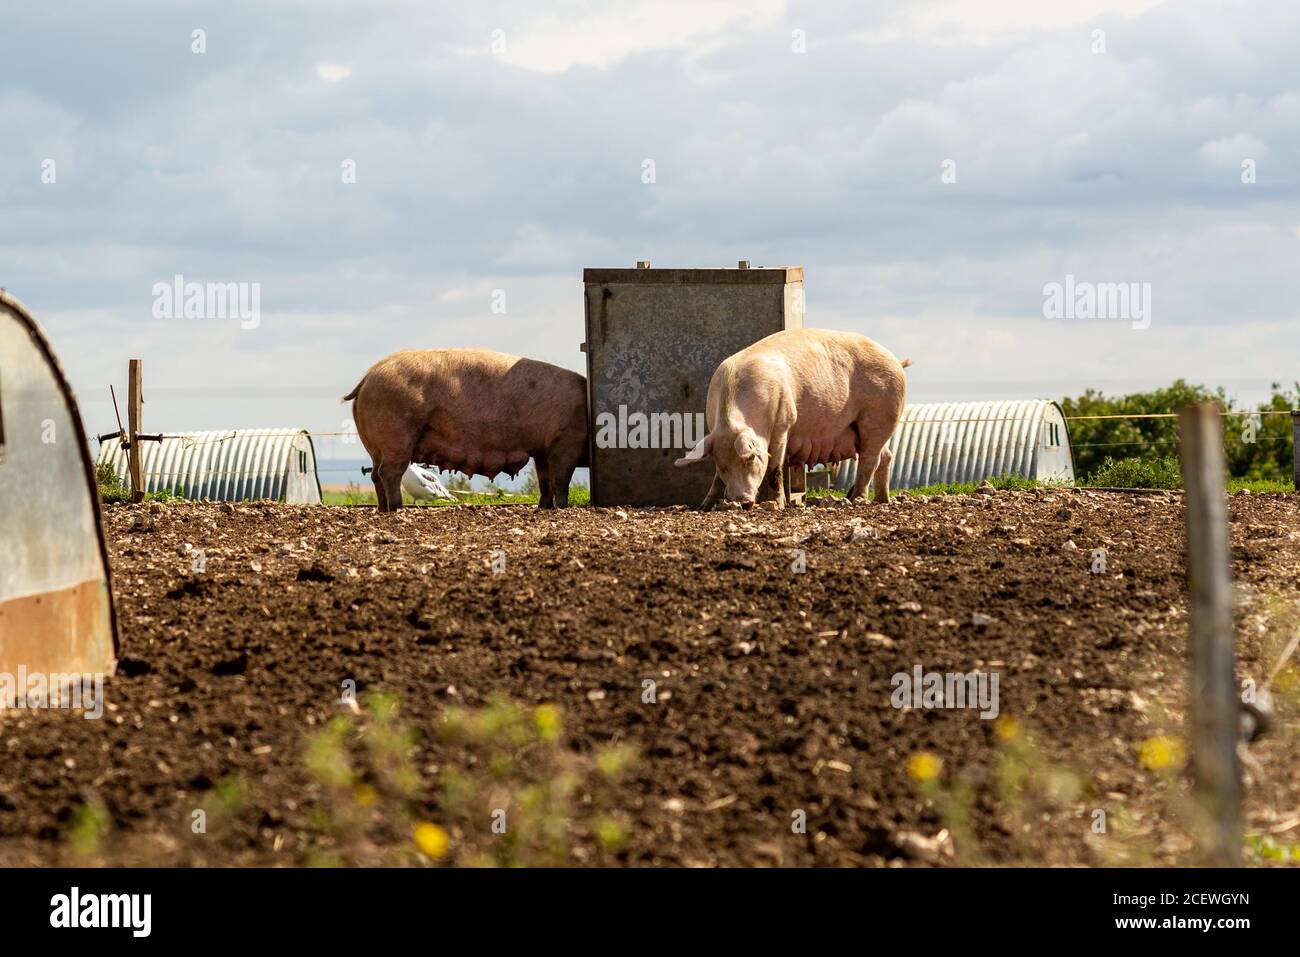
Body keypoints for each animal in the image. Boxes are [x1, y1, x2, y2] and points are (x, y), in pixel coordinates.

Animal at [345, 351, 590, 512]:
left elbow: (545, 481)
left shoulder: (542, 451)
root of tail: (367, 378)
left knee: (376, 475)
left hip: (374, 446)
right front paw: (562, 508)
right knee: (390, 472)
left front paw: (544, 508)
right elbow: (561, 479)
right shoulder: (566, 441)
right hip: (396, 436)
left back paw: (383, 509)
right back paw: (397, 509)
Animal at [676, 328, 909, 509]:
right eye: (722, 465)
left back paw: (856, 500)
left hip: (878, 417)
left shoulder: (784, 421)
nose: (742, 501)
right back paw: (880, 500)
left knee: (870, 460)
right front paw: (705, 506)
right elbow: (716, 479)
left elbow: (775, 469)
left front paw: (778, 505)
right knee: (886, 456)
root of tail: (897, 361)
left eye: (751, 459)